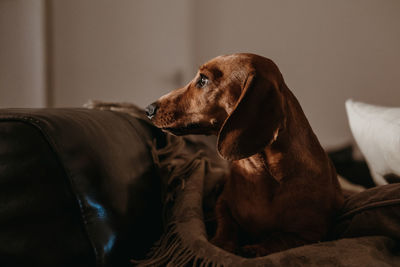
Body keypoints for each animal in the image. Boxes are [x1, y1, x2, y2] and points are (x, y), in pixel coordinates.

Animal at [145, 54, 346, 258]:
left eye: (203, 80)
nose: (148, 109)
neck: (263, 173)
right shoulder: (223, 204)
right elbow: (227, 225)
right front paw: (220, 244)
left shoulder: (310, 233)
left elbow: (279, 238)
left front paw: (255, 249)